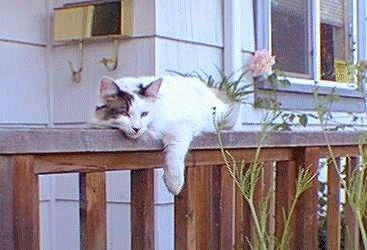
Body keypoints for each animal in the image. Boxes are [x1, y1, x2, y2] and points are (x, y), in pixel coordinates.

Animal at [93, 76, 237, 195]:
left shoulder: (181, 129)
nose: (136, 128)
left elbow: (174, 157)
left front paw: (174, 184)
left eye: (144, 114)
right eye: (125, 113)